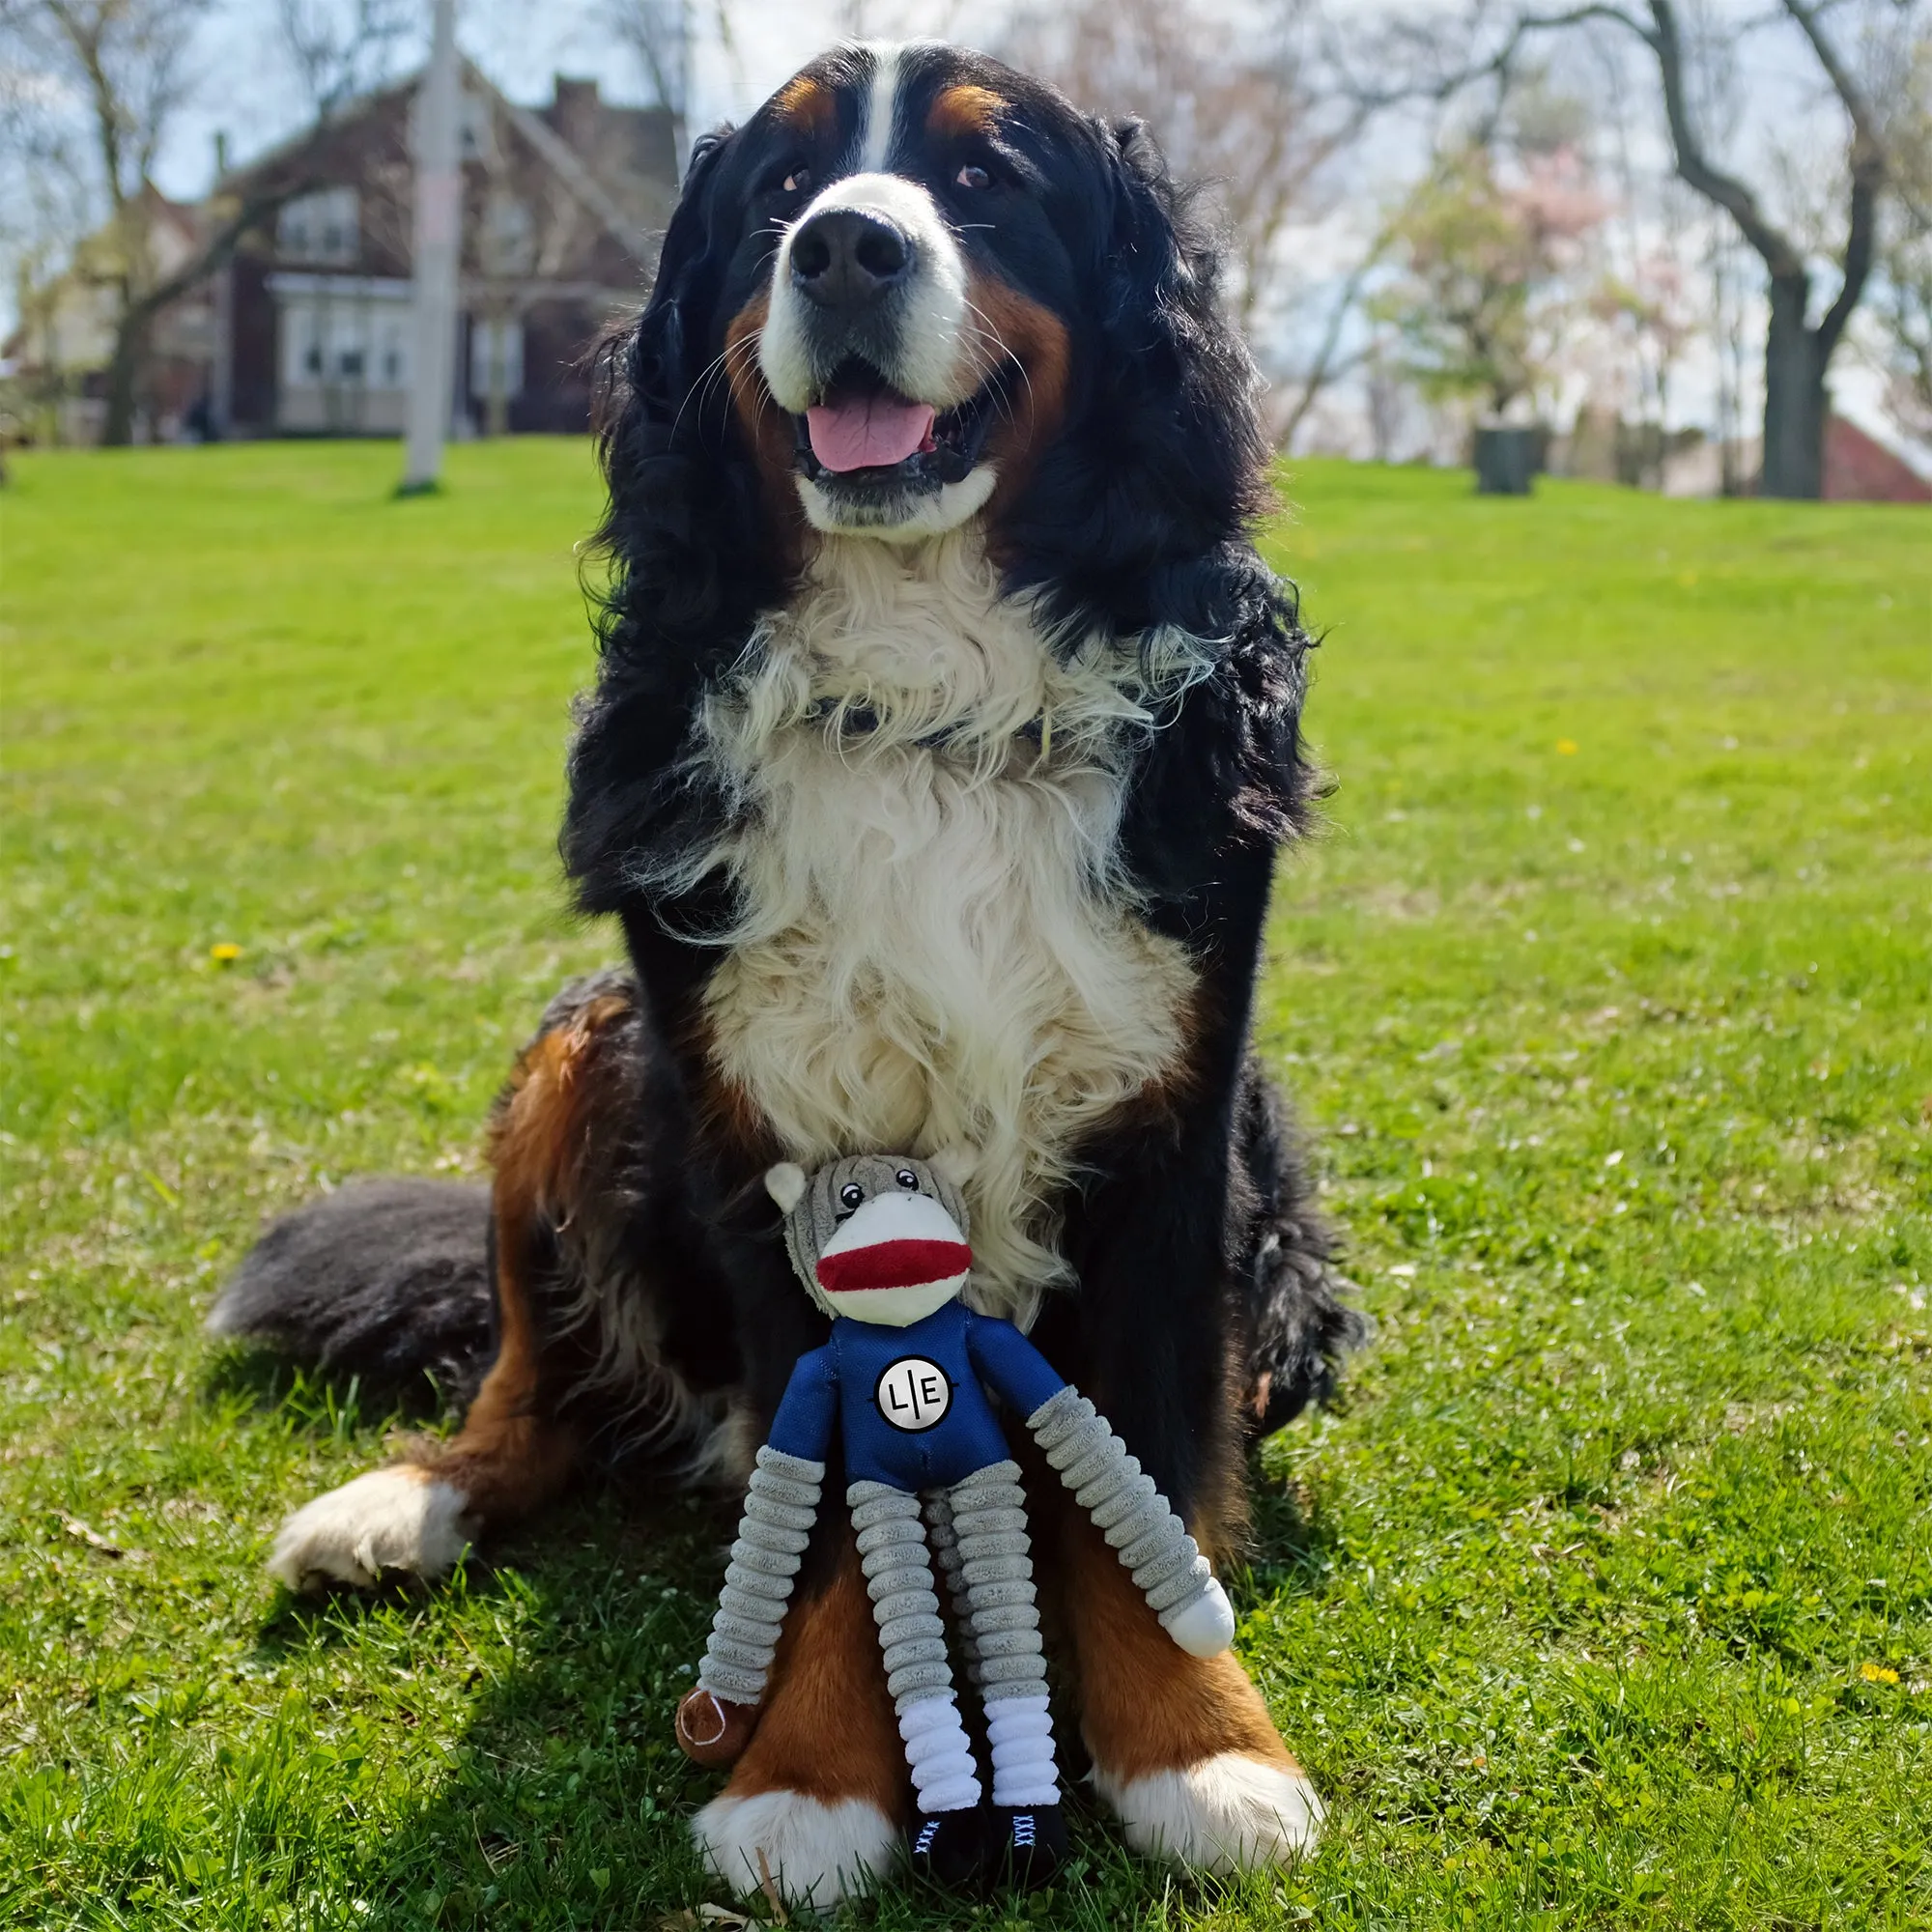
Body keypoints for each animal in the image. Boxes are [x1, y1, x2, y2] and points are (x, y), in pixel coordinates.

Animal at [212, 42, 1360, 1901]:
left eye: (982, 182)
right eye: (778, 191)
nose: (844, 249)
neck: (930, 700)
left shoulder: (1178, 1123)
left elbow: (1146, 1463)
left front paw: (1202, 1750)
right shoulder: (757, 1141)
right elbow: (816, 1487)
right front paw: (811, 1777)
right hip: (588, 1046)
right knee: (535, 1387)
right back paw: (401, 1504)